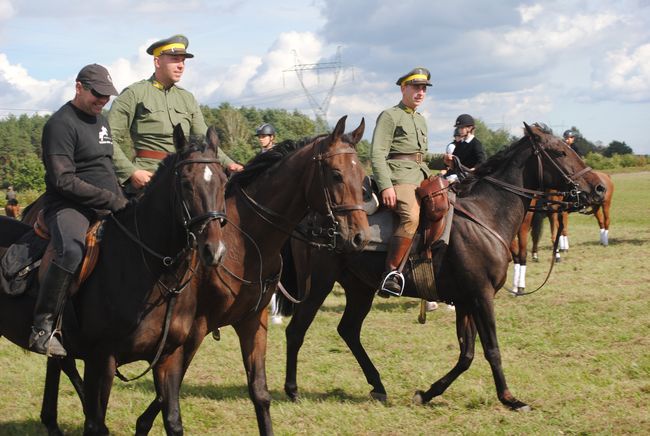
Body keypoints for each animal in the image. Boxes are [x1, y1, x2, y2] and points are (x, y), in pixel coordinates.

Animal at [0, 124, 228, 434]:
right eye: (185, 183)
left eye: (223, 182)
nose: (213, 250)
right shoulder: (101, 361)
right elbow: (95, 424)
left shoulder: (169, 358)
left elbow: (172, 421)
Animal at [280, 124, 608, 410]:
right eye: (560, 152)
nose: (599, 188)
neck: (485, 214)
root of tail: (310, 216)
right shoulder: (481, 297)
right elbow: (492, 349)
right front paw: (510, 398)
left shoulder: (466, 301)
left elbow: (467, 354)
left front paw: (427, 393)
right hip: (319, 284)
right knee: (297, 330)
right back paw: (292, 390)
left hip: (360, 288)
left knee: (348, 330)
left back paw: (378, 385)